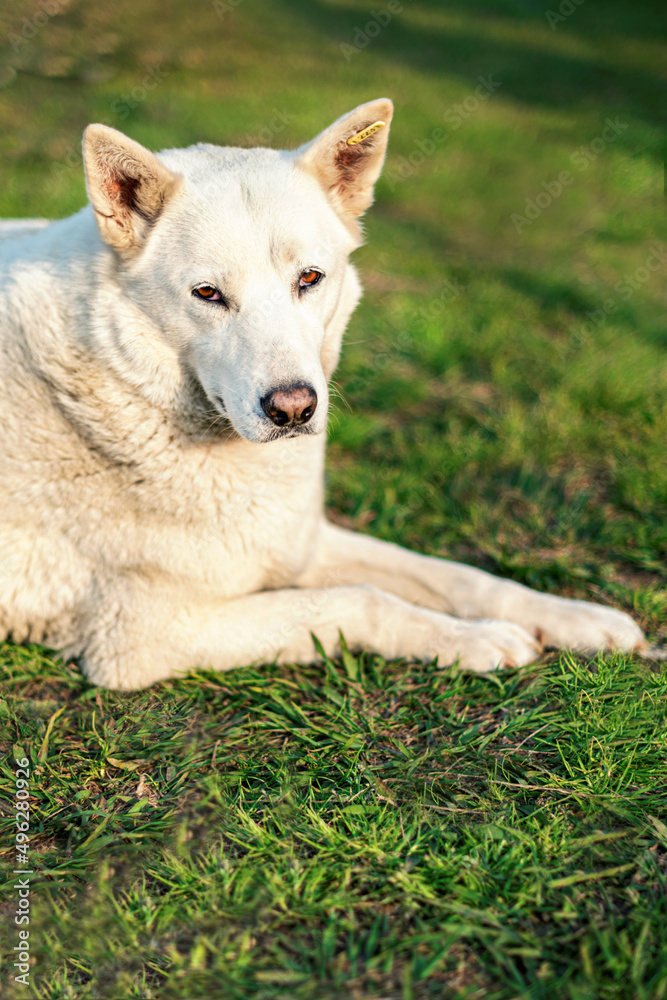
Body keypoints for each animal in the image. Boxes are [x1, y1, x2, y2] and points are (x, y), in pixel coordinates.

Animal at [0, 101, 648, 692]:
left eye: (309, 279)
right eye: (207, 294)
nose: (292, 409)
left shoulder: (301, 541)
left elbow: (459, 576)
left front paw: (579, 619)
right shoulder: (143, 637)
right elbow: (360, 600)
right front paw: (476, 639)